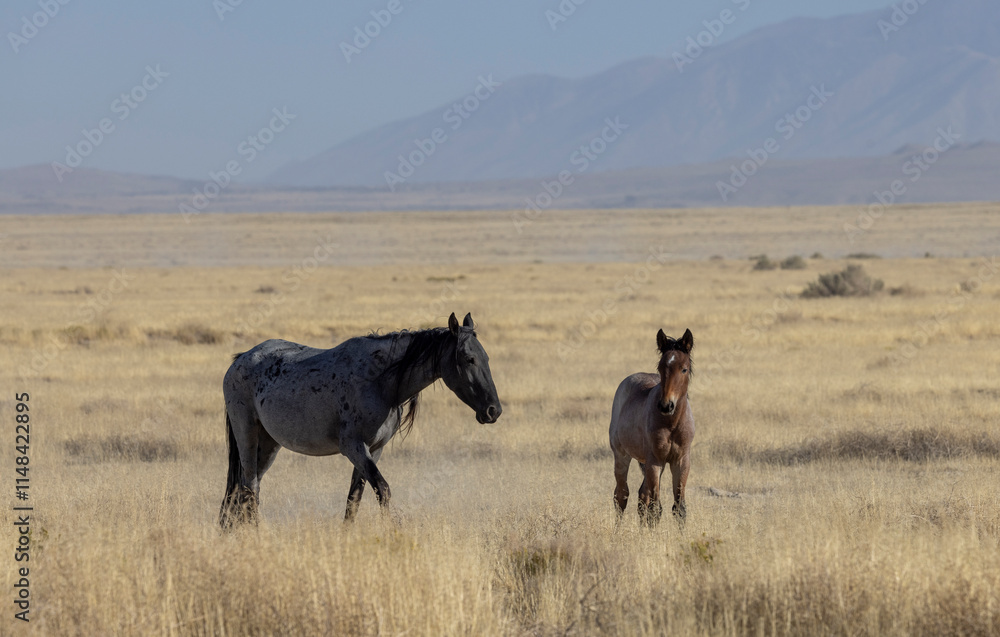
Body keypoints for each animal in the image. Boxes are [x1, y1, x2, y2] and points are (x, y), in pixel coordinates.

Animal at [219, 312, 502, 529]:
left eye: (486, 358)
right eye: (469, 359)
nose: (493, 411)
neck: (380, 382)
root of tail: (239, 360)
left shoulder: (374, 450)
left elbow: (354, 499)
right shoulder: (353, 448)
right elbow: (383, 490)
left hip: (269, 445)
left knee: (242, 492)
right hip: (247, 436)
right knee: (249, 489)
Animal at [608, 328, 694, 526]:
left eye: (684, 369)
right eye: (661, 368)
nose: (666, 405)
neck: (672, 423)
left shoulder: (681, 461)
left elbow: (679, 508)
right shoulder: (655, 461)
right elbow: (655, 509)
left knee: (642, 497)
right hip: (622, 455)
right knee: (621, 496)